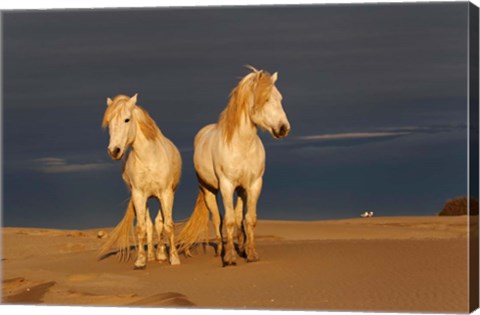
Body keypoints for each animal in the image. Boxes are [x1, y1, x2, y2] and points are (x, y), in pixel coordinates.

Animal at [97, 94, 182, 270]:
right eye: (109, 122)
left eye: (127, 119)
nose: (114, 151)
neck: (149, 158)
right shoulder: (138, 195)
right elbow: (142, 227)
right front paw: (141, 260)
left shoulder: (166, 194)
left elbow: (168, 225)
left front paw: (174, 258)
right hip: (146, 199)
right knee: (150, 224)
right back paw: (151, 255)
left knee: (159, 222)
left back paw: (161, 254)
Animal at [179, 67, 292, 266]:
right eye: (266, 99)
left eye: (280, 98)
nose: (283, 128)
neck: (242, 145)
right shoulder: (226, 185)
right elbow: (229, 221)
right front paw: (230, 257)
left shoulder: (254, 185)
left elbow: (249, 220)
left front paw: (251, 253)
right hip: (209, 191)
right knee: (218, 219)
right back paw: (221, 251)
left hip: (241, 190)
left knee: (239, 218)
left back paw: (241, 248)